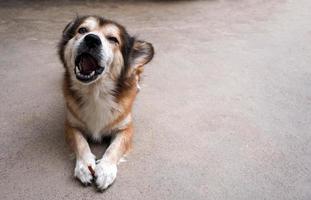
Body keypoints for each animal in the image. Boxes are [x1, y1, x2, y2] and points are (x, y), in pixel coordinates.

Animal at [57, 15, 155, 191]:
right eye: (82, 30)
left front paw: (105, 170)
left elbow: (114, 148)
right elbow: (80, 143)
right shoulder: (71, 125)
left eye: (113, 39)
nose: (91, 39)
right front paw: (84, 166)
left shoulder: (126, 128)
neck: (95, 92)